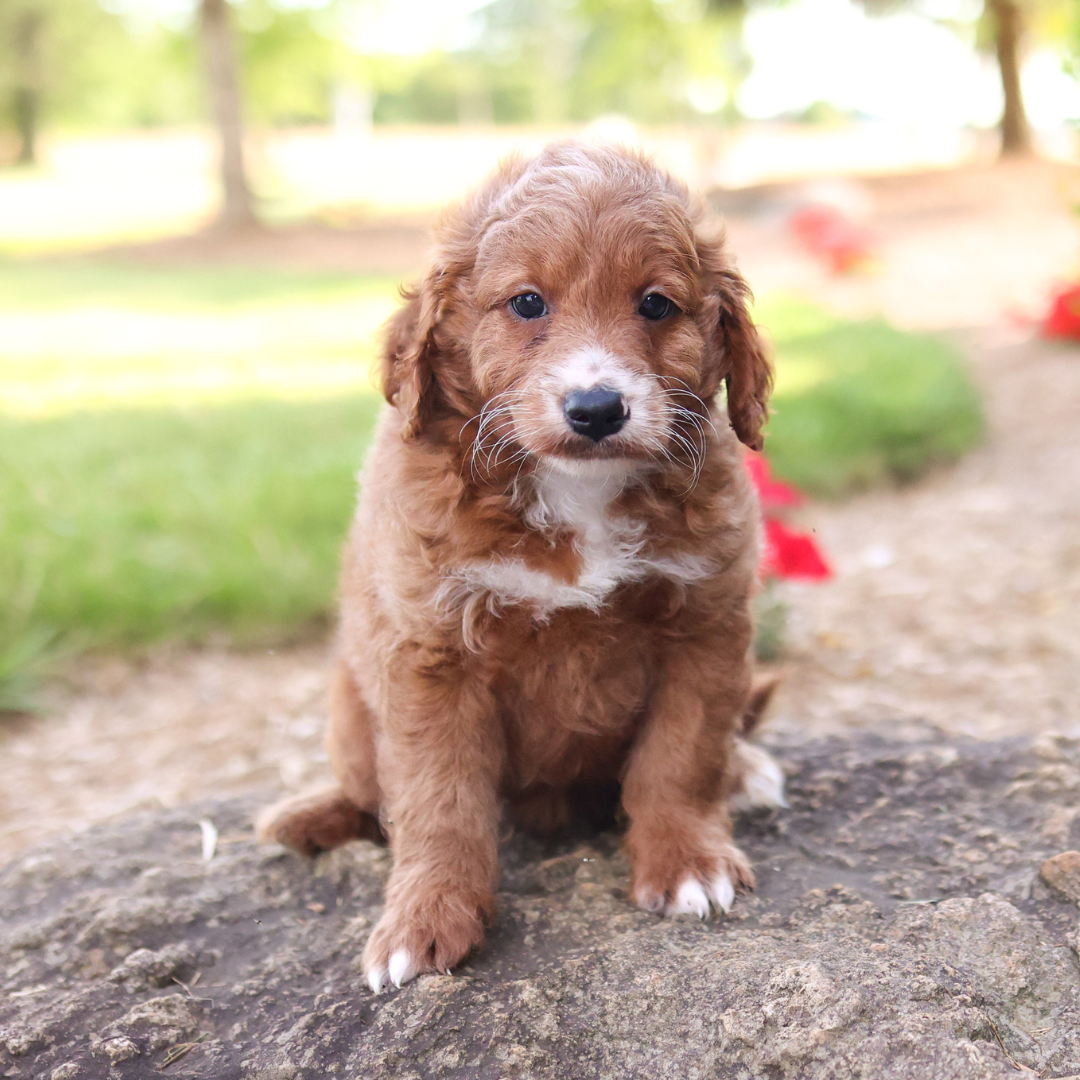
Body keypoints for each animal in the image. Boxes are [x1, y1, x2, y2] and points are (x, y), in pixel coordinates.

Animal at [261, 139, 786, 989]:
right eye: (528, 303)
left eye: (657, 305)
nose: (597, 408)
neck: (575, 491)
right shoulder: (431, 655)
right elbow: (438, 800)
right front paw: (424, 915)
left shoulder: (705, 623)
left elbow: (681, 757)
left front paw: (686, 861)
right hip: (347, 706)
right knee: (367, 792)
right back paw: (310, 818)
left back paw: (747, 771)